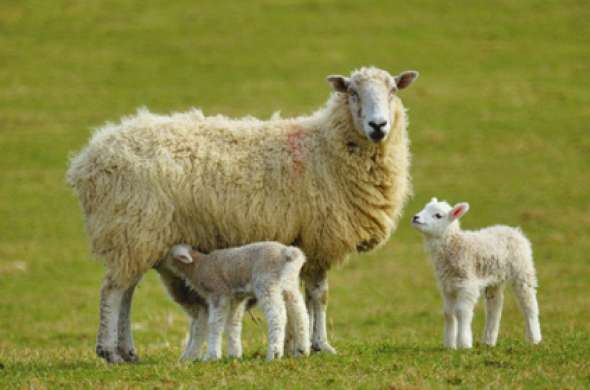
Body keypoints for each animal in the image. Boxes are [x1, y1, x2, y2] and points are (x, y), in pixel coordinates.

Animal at [160, 242, 312, 362]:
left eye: (168, 253)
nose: (159, 260)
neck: (198, 267)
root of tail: (287, 253)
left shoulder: (218, 293)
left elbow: (215, 323)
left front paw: (212, 356)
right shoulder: (236, 298)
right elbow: (233, 323)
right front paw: (234, 354)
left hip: (267, 283)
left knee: (277, 316)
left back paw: (274, 354)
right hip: (289, 285)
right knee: (300, 313)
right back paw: (303, 350)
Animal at [414, 198, 544, 348]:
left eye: (438, 215)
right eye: (424, 208)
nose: (415, 217)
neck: (453, 246)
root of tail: (515, 231)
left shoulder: (467, 284)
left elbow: (462, 312)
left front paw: (464, 344)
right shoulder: (447, 286)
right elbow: (448, 313)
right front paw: (449, 345)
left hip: (522, 268)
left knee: (528, 303)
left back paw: (534, 338)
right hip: (495, 277)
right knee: (495, 306)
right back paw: (489, 340)